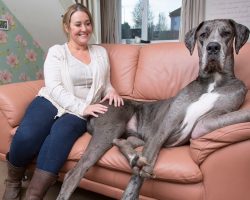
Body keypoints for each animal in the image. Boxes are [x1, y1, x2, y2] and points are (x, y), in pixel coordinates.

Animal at [56, 19, 250, 200]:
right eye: (203, 35)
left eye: (227, 33)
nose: (213, 47)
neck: (212, 81)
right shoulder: (163, 129)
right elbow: (136, 178)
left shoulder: (205, 124)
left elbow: (238, 114)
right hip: (111, 127)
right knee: (74, 173)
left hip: (130, 136)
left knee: (120, 142)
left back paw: (134, 158)